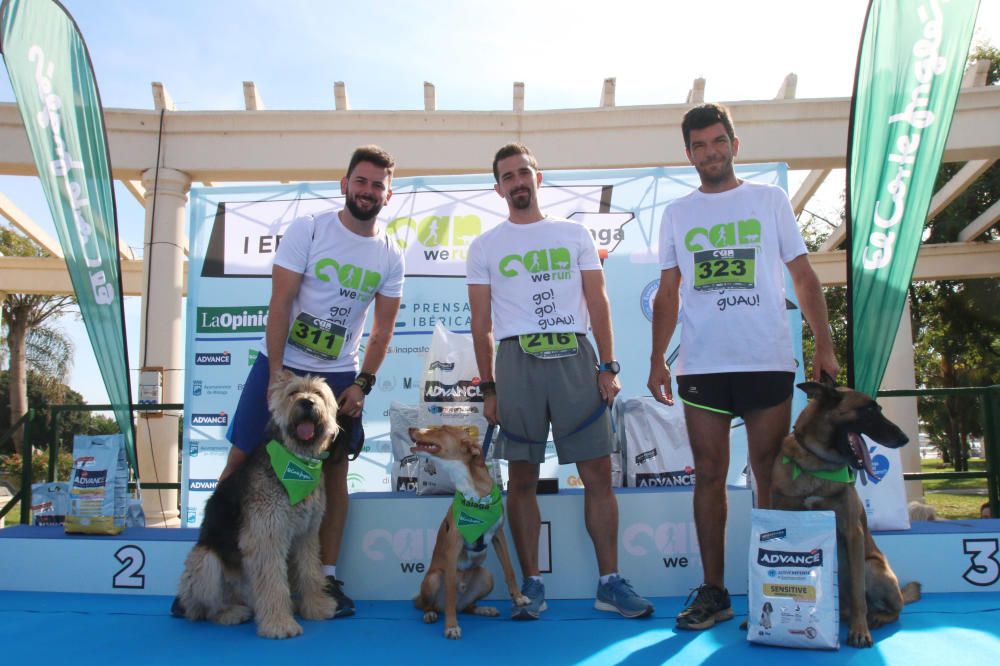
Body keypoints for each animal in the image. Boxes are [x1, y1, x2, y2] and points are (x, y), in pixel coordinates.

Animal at [174, 374, 342, 640]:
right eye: (292, 393)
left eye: (318, 393)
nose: (307, 403)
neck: (296, 461)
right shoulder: (267, 535)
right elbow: (274, 583)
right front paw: (279, 624)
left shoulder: (307, 535)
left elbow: (310, 572)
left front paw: (315, 606)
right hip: (205, 561)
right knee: (204, 609)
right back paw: (230, 613)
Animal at [408, 426, 532, 640]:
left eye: (441, 428)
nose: (411, 428)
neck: (473, 492)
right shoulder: (453, 547)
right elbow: (450, 591)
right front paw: (451, 626)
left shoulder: (499, 535)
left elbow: (509, 569)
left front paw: (518, 598)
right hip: (433, 578)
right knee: (429, 604)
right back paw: (431, 614)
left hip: (487, 577)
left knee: (467, 607)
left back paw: (484, 609)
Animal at [772, 376, 920, 644]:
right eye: (869, 410)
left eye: (879, 408)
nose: (904, 438)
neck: (816, 463)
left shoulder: (853, 533)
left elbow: (858, 592)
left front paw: (860, 631)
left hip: (873, 567)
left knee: (893, 609)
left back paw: (875, 618)